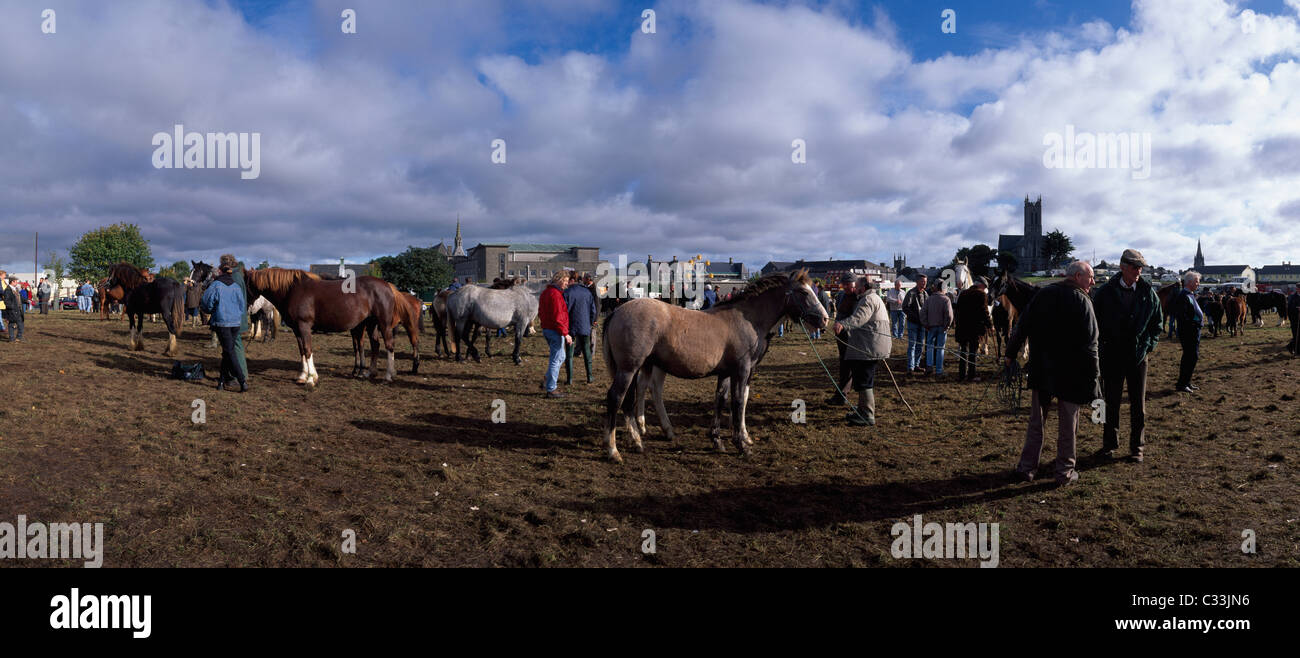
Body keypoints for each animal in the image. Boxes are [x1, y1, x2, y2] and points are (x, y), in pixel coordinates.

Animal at [244, 267, 395, 384]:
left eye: (243, 284)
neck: (292, 291)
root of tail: (388, 285)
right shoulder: (297, 329)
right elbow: (302, 350)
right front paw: (303, 376)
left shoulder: (304, 326)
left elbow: (307, 349)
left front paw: (311, 379)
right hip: (371, 324)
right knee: (375, 345)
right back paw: (370, 373)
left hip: (384, 324)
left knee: (389, 346)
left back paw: (388, 376)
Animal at [600, 267, 826, 462]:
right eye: (803, 292)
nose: (824, 319)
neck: (748, 320)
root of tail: (617, 311)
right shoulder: (742, 370)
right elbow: (738, 402)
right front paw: (742, 445)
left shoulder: (726, 372)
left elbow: (721, 400)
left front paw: (718, 440)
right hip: (629, 368)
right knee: (617, 398)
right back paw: (613, 450)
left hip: (636, 367)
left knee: (632, 399)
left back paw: (638, 441)